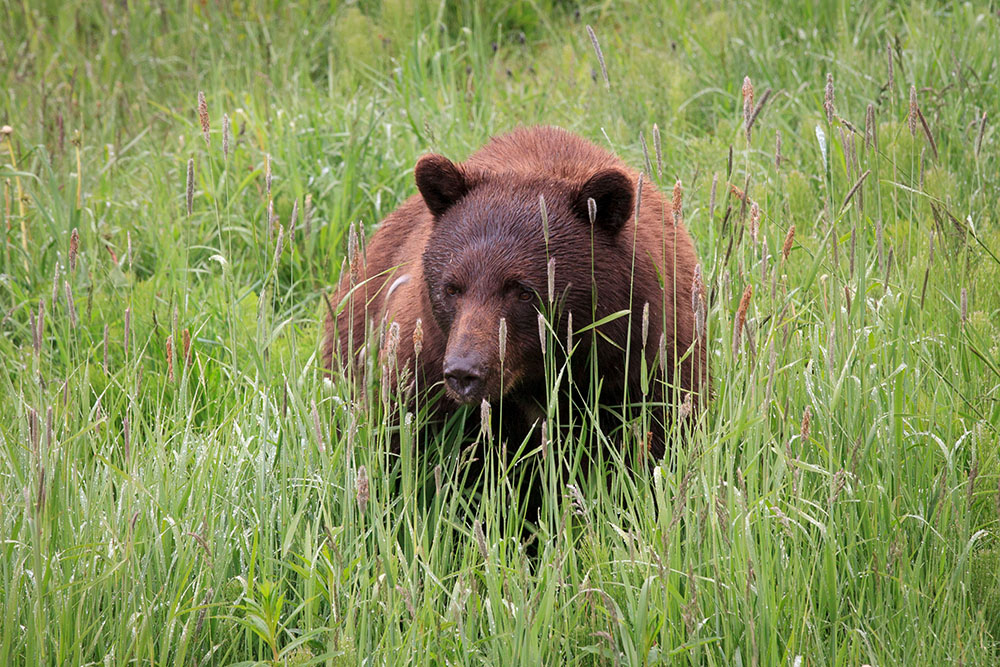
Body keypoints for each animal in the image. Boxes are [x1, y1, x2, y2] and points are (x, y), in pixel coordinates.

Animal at [324, 125, 708, 460]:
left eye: (523, 292)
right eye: (452, 288)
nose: (464, 372)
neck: (535, 381)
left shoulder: (647, 357)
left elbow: (660, 434)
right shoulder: (420, 366)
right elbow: (403, 444)